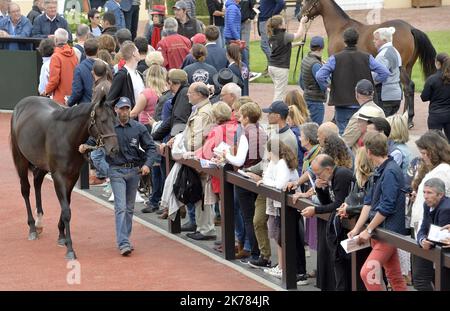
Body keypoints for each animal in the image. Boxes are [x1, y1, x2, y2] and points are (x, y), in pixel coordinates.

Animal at [10, 97, 119, 260]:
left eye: (115, 120)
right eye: (103, 120)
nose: (114, 149)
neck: (67, 137)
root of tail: (21, 104)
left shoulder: (72, 176)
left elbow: (66, 204)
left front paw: (61, 236)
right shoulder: (58, 177)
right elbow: (67, 211)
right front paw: (70, 248)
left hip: (42, 164)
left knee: (37, 182)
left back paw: (39, 222)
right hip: (20, 160)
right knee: (25, 190)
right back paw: (32, 227)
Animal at [302, 0, 436, 127]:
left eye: (309, 0)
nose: (300, 15)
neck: (340, 28)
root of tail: (410, 28)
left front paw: (336, 118)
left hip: (401, 67)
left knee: (409, 86)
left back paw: (408, 119)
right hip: (409, 67)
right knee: (407, 89)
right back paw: (405, 116)